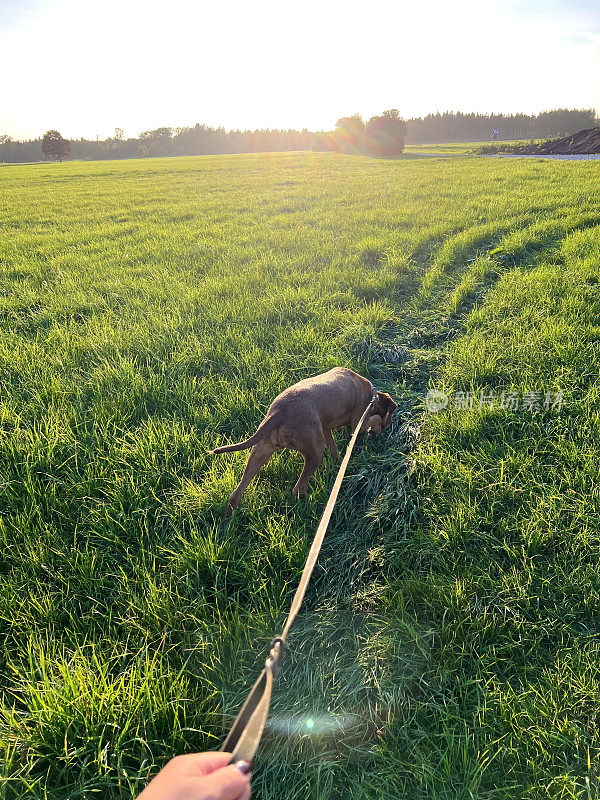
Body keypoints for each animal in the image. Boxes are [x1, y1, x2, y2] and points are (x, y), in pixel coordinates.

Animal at [209, 368, 396, 520]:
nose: (389, 426)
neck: (371, 394)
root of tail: (279, 412)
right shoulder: (358, 422)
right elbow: (375, 418)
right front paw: (376, 429)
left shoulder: (325, 428)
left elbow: (334, 449)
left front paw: (337, 463)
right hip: (315, 453)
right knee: (298, 488)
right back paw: (311, 509)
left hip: (260, 452)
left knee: (235, 494)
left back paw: (226, 523)